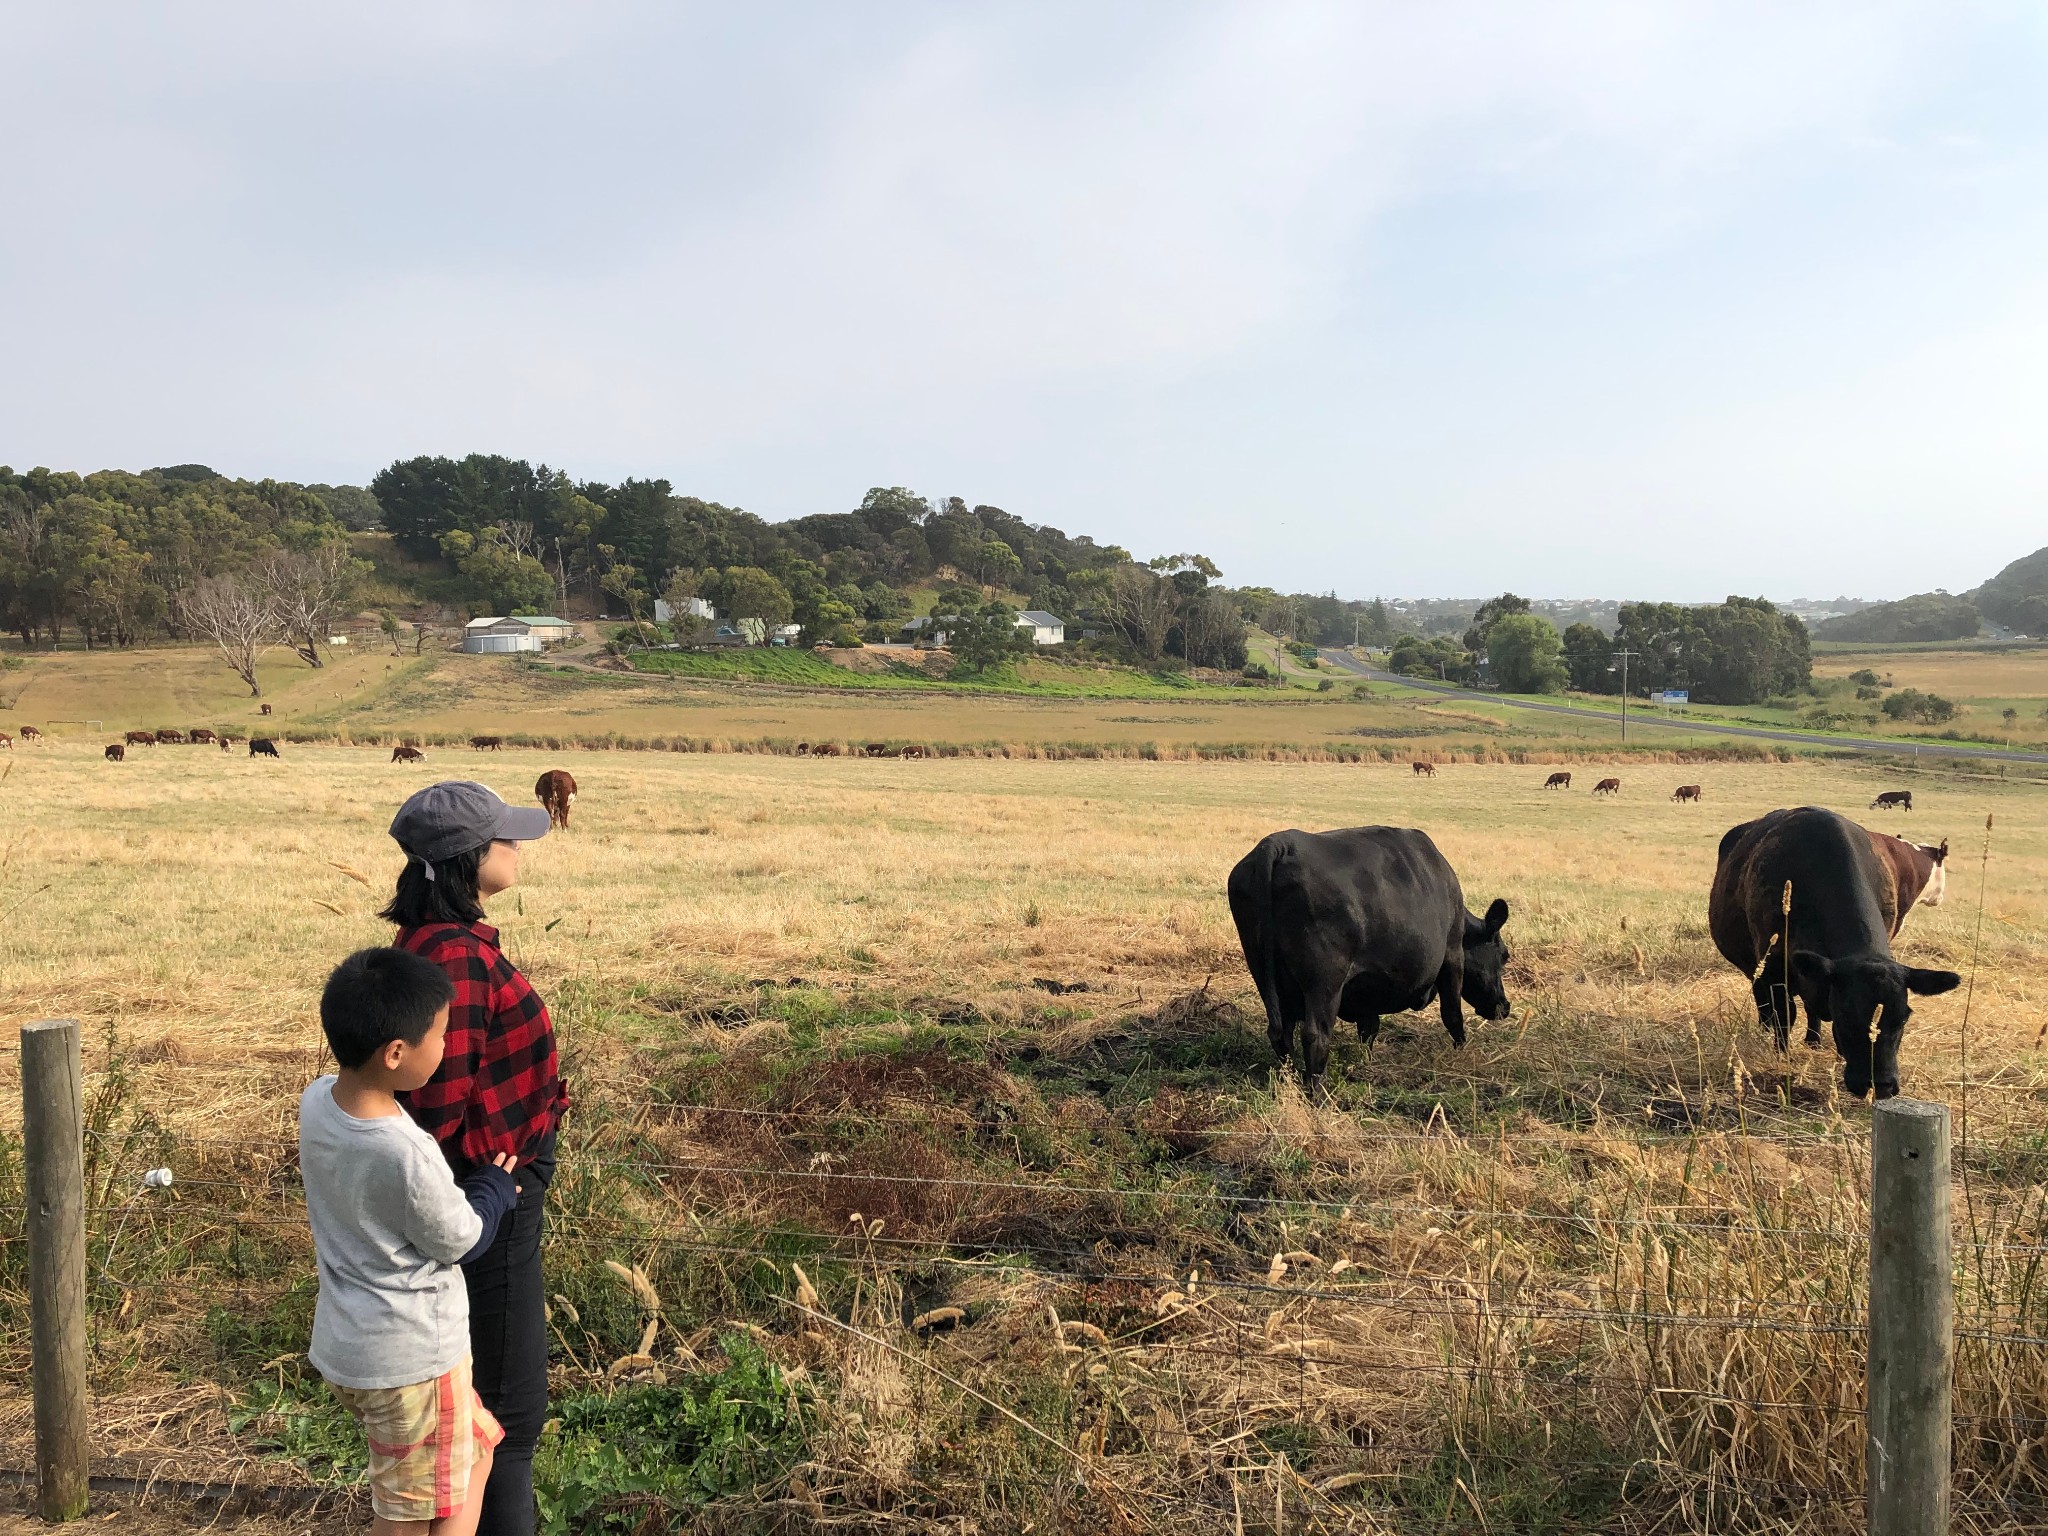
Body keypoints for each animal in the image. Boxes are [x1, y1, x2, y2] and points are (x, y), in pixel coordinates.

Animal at [1220, 831, 1515, 1105]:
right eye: (1504, 956)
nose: (1504, 1005)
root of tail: (1278, 844)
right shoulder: (1452, 957)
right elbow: (1452, 1013)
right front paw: (1461, 1052)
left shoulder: (1368, 987)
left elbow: (1369, 1027)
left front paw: (1365, 1061)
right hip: (1324, 982)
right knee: (1315, 1034)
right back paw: (1318, 1094)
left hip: (1265, 974)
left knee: (1281, 1032)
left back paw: (1290, 1080)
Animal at [1703, 811, 1957, 1097]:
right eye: (1845, 1014)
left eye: (1903, 1019)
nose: (1879, 1084)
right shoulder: (1772, 966)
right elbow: (1784, 1015)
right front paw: (1782, 1056)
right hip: (1756, 968)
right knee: (1766, 1005)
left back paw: (1813, 1041)